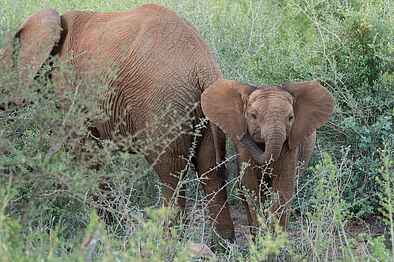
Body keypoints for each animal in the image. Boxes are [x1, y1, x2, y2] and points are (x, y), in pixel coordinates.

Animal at [0, 4, 235, 242]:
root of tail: (203, 66)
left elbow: (85, 151)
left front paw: (109, 232)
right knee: (211, 171)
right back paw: (223, 245)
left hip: (163, 103)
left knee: (171, 173)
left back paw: (167, 243)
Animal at [202, 80, 334, 235]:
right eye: (253, 116)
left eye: (290, 118)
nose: (241, 135)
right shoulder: (243, 149)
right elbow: (251, 188)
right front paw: (262, 236)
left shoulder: (290, 143)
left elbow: (283, 190)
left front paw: (275, 237)